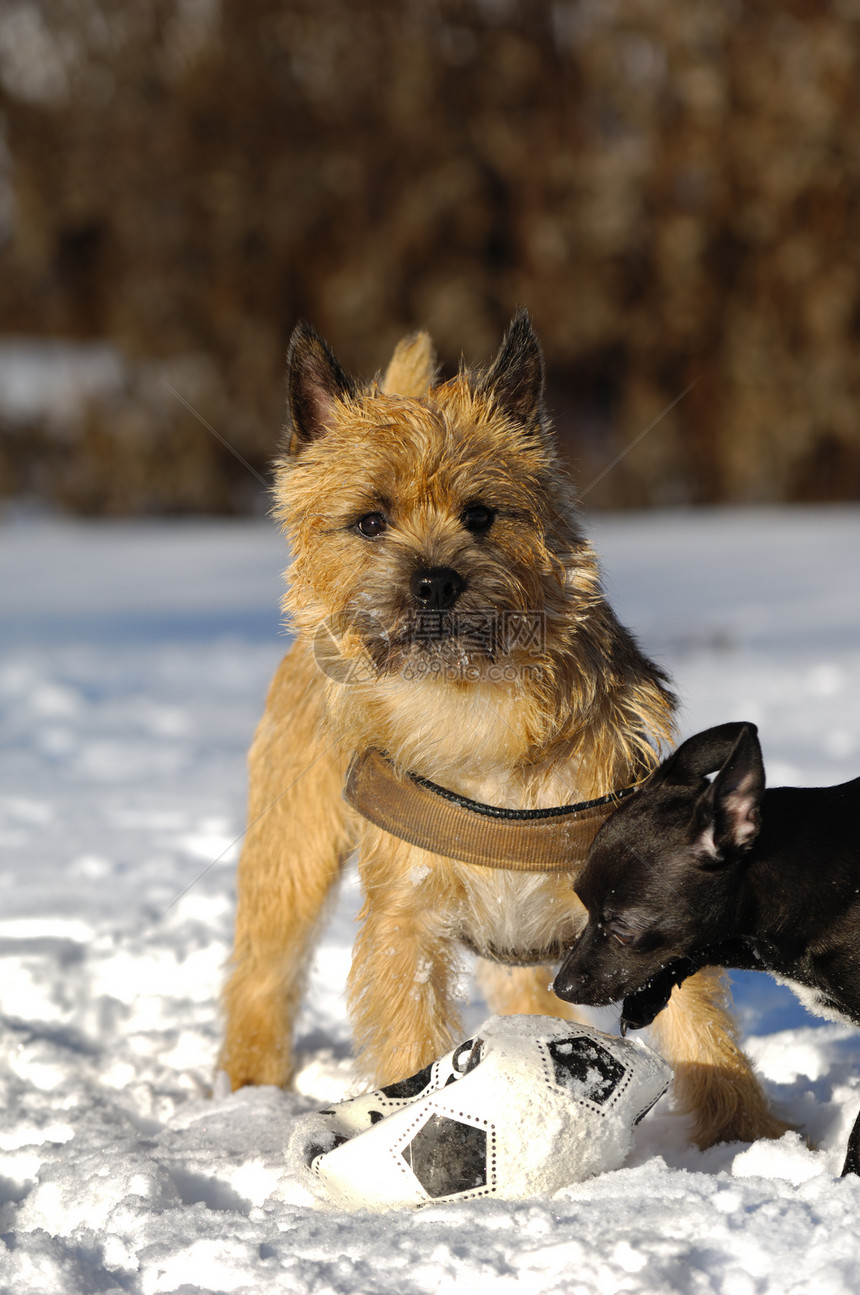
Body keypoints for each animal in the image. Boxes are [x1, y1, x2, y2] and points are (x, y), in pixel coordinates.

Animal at [218, 313, 782, 1144]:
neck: (471, 707)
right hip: (292, 845)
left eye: (480, 513)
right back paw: (247, 1088)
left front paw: (751, 1140)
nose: (435, 580)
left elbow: (700, 1028)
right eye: (370, 520)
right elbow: (412, 1037)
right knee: (263, 969)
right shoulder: (407, 925)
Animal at [551, 725, 860, 1181]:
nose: (562, 988)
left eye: (623, 927)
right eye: (584, 907)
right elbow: (702, 946)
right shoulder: (754, 939)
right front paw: (645, 999)